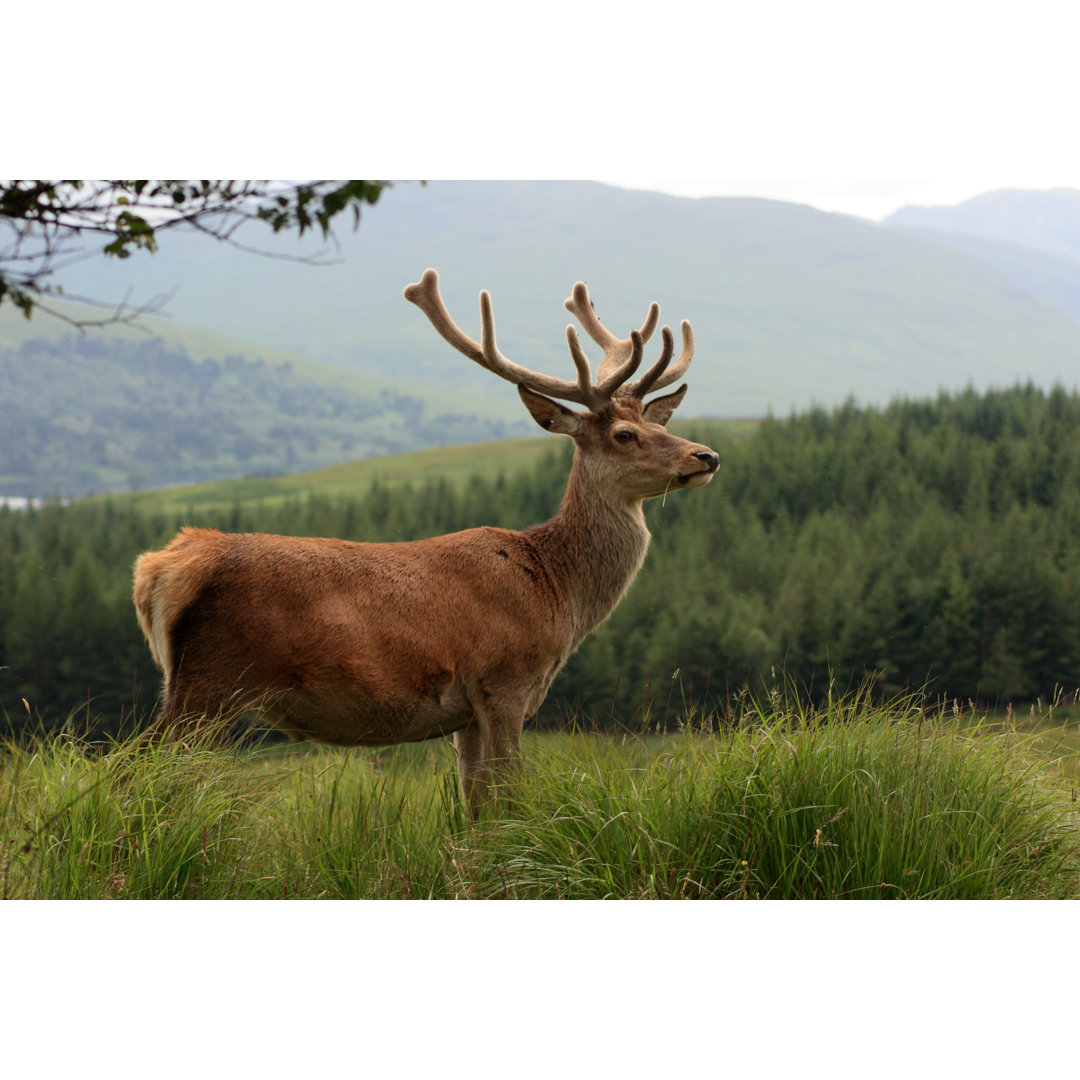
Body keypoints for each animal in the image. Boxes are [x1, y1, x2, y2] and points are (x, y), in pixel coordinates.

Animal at [135, 267, 721, 812]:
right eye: (625, 435)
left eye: (660, 423)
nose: (707, 455)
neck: (556, 591)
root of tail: (160, 569)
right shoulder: (504, 680)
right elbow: (511, 796)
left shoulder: (467, 712)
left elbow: (476, 807)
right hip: (212, 679)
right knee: (140, 770)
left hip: (185, 683)